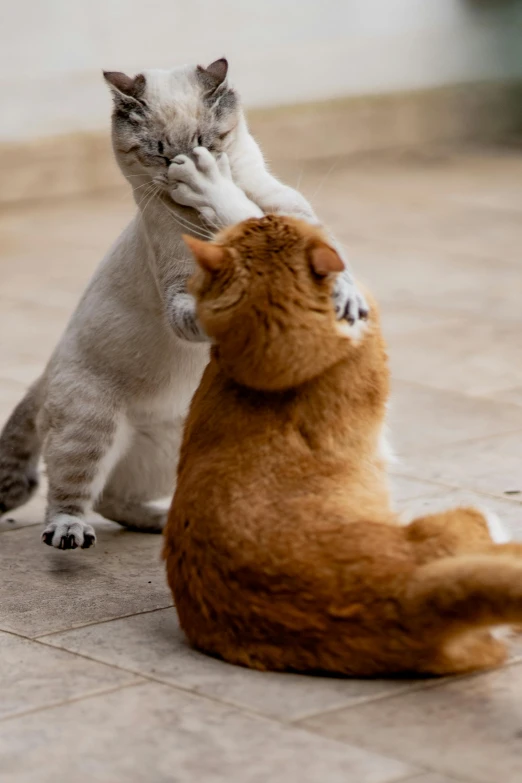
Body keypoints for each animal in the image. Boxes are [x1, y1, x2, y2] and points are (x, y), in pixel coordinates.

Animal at [0, 58, 366, 548]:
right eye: (158, 152)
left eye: (205, 142)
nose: (183, 164)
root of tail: (42, 376)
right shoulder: (182, 294)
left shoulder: (298, 222)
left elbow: (328, 257)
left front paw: (349, 302)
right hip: (91, 428)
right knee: (72, 494)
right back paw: (70, 531)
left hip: (172, 449)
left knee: (112, 497)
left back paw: (162, 523)